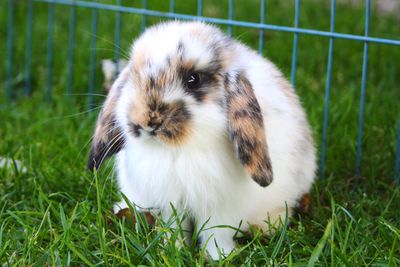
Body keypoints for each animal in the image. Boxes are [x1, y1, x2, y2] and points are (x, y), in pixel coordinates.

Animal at [87, 21, 316, 262]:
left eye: (193, 79)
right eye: (134, 75)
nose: (146, 120)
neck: (177, 150)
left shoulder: (220, 208)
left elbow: (216, 232)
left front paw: (220, 257)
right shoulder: (171, 203)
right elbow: (174, 228)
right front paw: (170, 250)